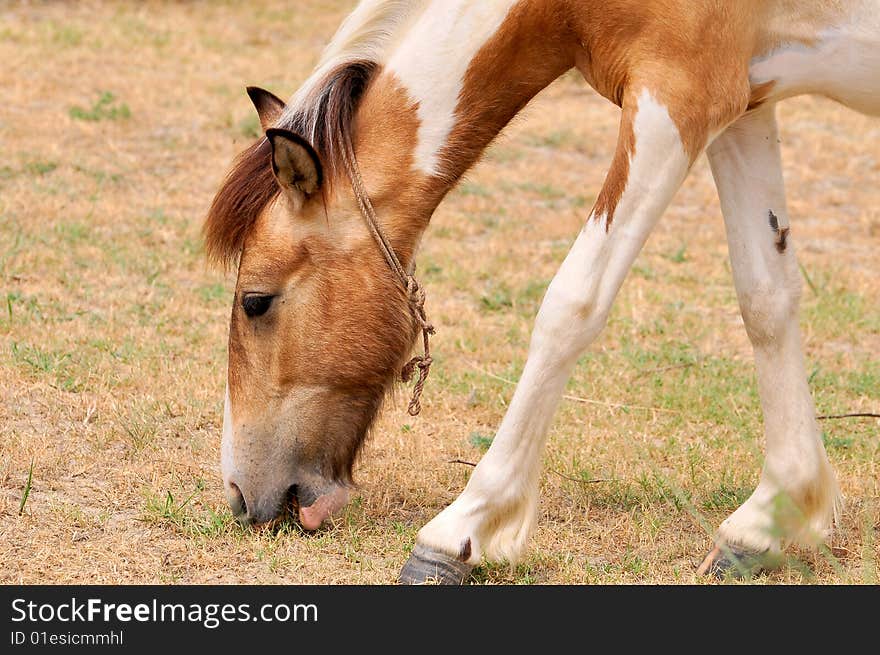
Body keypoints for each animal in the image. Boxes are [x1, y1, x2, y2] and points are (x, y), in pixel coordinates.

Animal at [206, 0, 880, 584]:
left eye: (256, 302)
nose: (239, 493)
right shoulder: (743, 105)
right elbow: (765, 298)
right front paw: (769, 519)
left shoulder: (677, 101)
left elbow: (572, 305)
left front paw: (462, 528)